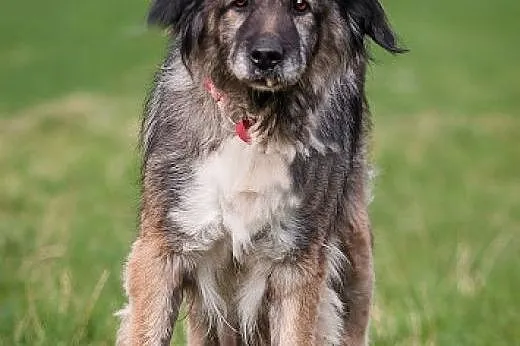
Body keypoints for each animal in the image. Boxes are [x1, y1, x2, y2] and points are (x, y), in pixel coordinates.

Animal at [116, 0, 404, 344]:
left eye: (301, 5)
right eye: (239, 4)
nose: (266, 56)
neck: (254, 121)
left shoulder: (296, 262)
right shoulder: (163, 249)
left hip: (354, 259)